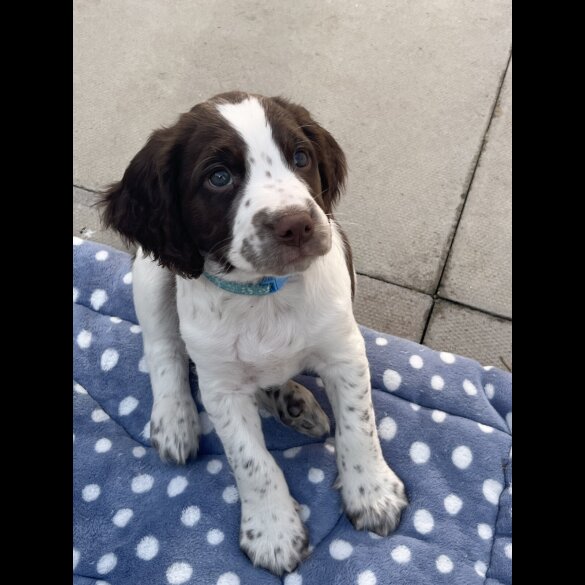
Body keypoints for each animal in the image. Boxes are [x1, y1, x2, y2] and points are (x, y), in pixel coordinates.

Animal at [99, 92, 406, 576]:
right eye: (219, 177)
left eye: (300, 157)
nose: (297, 224)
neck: (264, 294)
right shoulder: (221, 388)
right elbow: (251, 462)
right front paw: (274, 532)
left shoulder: (344, 350)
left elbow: (360, 426)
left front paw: (373, 493)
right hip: (151, 272)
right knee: (164, 348)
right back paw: (176, 420)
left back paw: (295, 404)